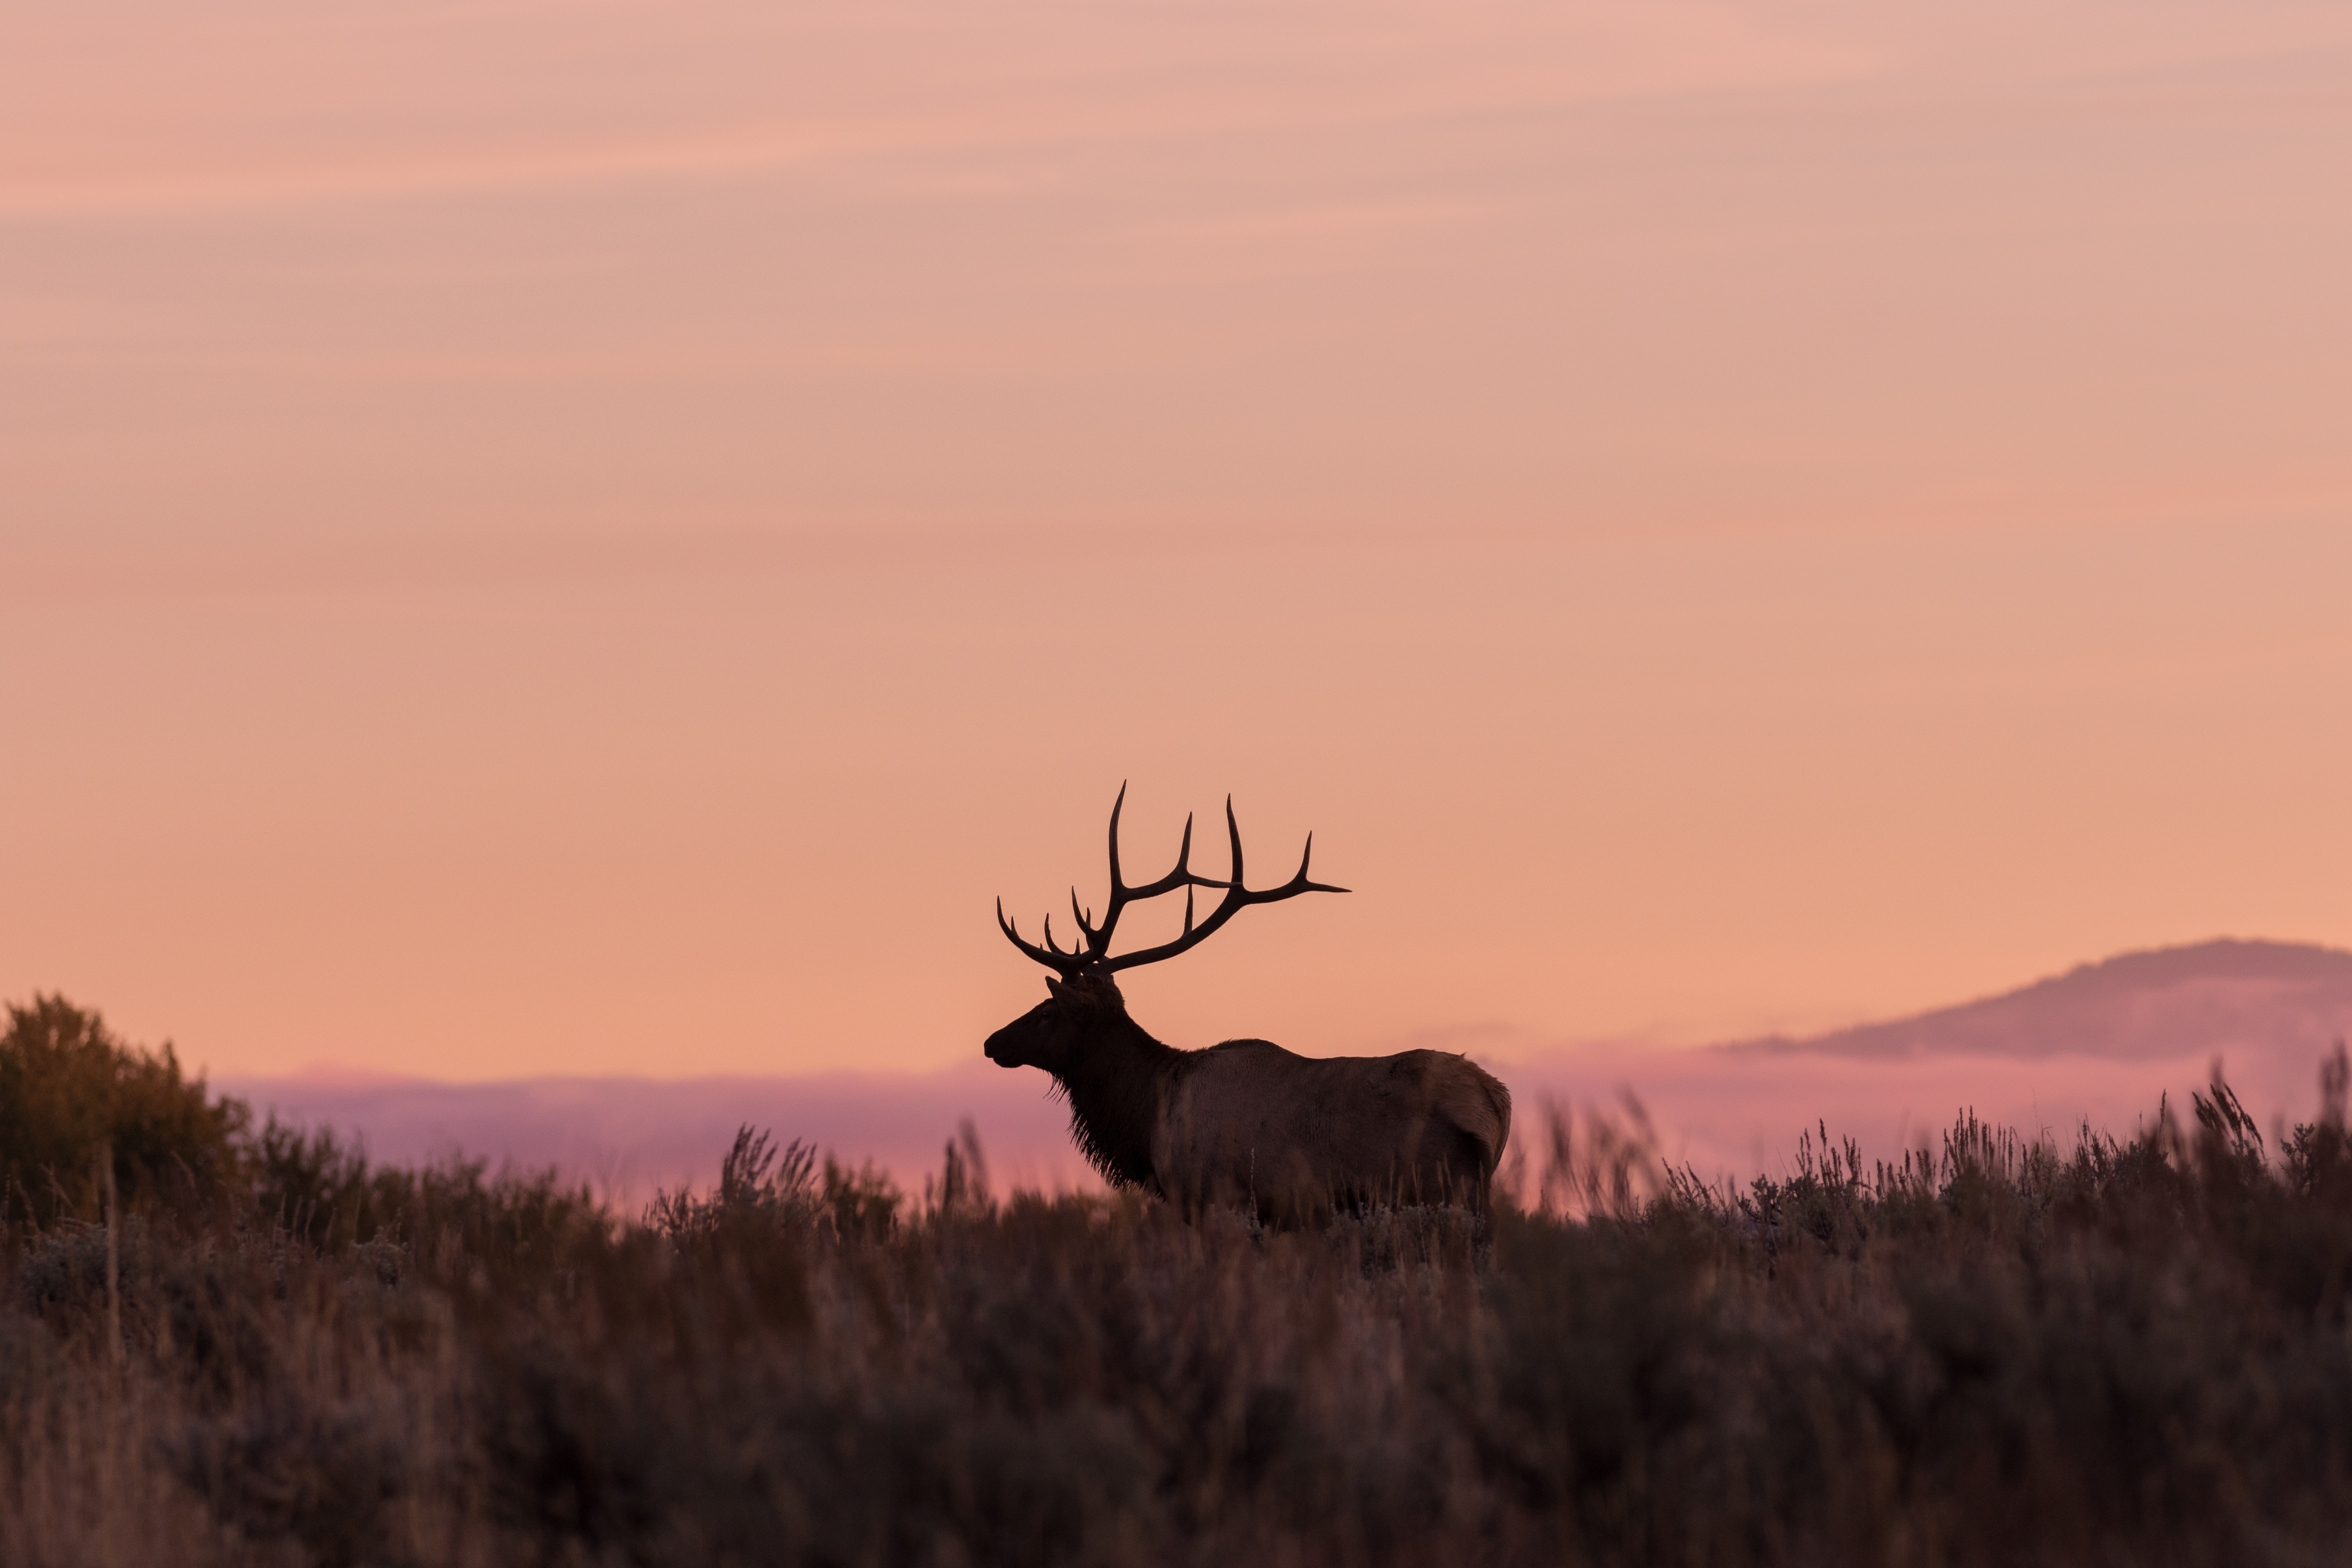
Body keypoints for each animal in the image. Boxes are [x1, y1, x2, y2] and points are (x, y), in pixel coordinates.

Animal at [985, 787, 1512, 1222]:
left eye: (1047, 1011)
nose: (992, 1042)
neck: (1146, 1118)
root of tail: (1496, 1101)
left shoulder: (1215, 1198)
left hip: (1433, 1188)